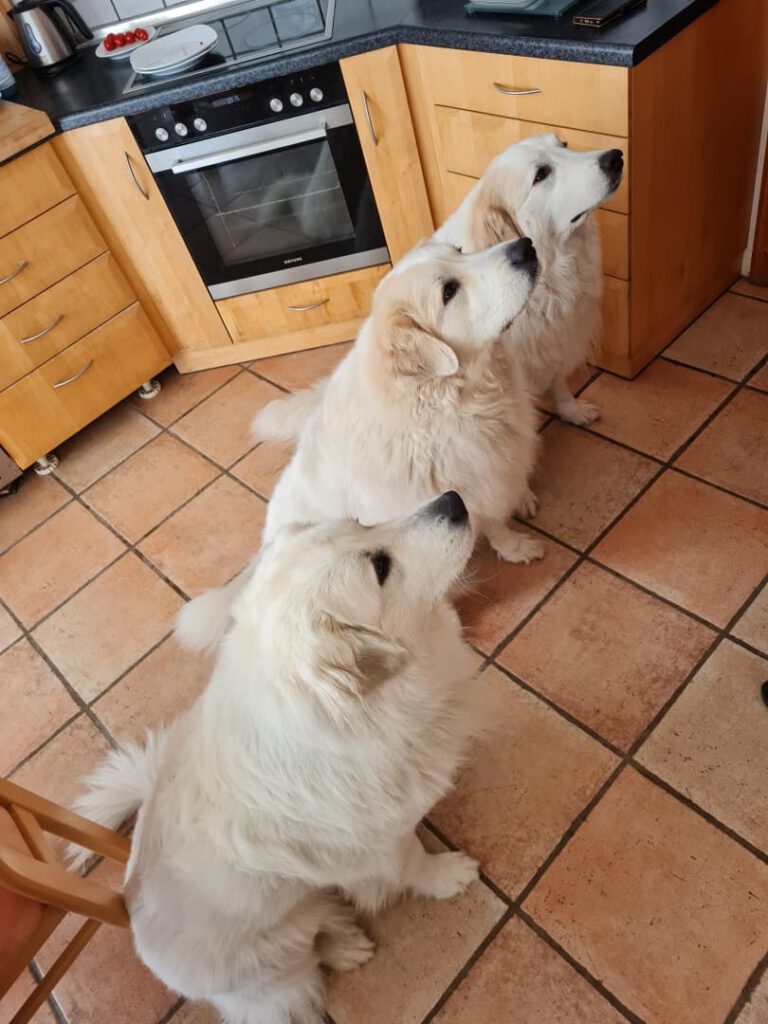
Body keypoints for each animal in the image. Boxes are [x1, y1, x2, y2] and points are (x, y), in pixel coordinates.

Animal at [70, 493, 481, 1024]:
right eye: (380, 567)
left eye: (361, 523)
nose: (453, 500)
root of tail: (127, 912)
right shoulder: (384, 846)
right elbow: (414, 865)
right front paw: (449, 876)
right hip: (278, 970)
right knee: (306, 963)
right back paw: (346, 949)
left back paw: (349, 943)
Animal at [438, 133, 626, 428]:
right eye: (541, 174)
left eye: (564, 145)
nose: (616, 157)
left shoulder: (557, 341)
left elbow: (559, 383)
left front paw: (572, 411)